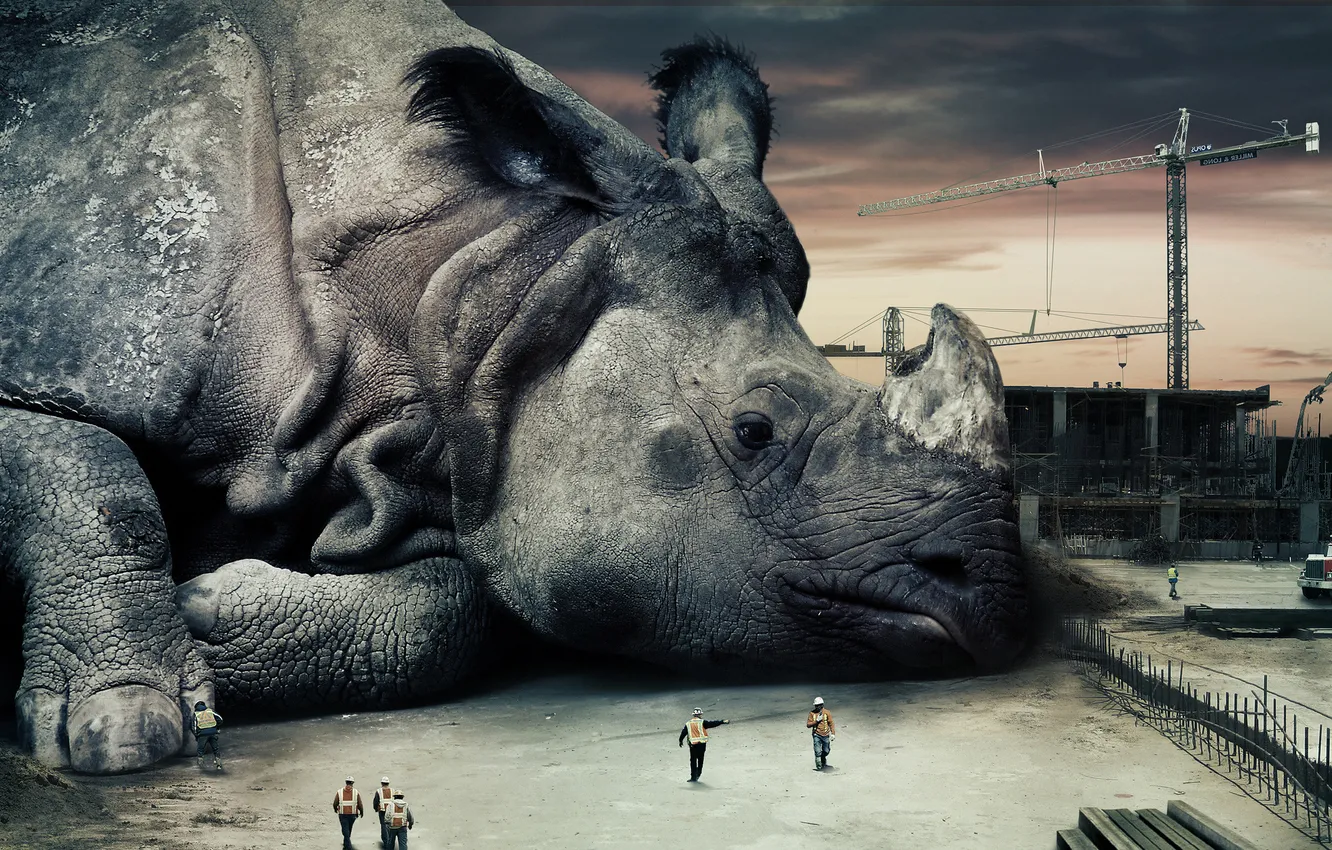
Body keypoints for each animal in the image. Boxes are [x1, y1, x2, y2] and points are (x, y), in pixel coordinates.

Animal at [0, 0, 1028, 775]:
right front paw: (128, 728)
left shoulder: (433, 447)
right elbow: (88, 474)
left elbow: (452, 609)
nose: (996, 597)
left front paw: (208, 616)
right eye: (753, 430)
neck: (488, 273)